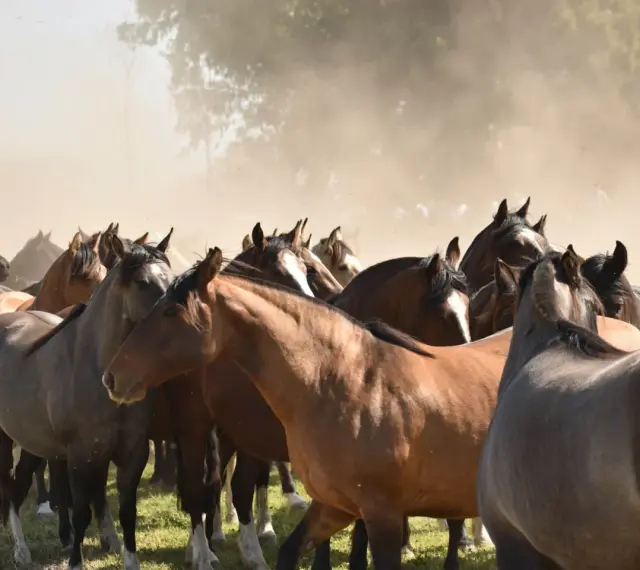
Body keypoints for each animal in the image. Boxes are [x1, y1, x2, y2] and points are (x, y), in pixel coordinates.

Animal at [0, 231, 173, 570]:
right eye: (142, 282)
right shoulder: (81, 456)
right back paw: (21, 550)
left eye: (171, 278)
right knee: (10, 487)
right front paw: (75, 561)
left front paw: (129, 559)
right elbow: (80, 510)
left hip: (32, 442)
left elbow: (126, 512)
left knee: (18, 486)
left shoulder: (131, 453)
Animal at [103, 247, 516, 570]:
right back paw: (206, 552)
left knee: (227, 486)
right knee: (201, 487)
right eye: (442, 313)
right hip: (196, 428)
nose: (113, 376)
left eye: (171, 312)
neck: (341, 374)